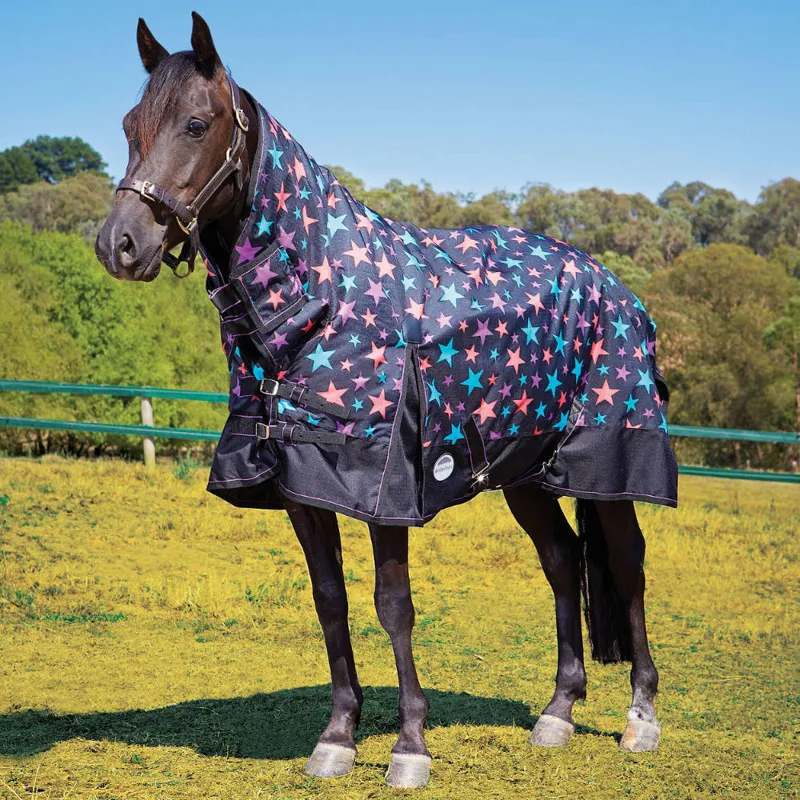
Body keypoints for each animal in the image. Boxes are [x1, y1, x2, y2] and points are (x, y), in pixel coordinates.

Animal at [95, 12, 677, 789]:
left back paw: (641, 719)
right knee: (561, 560)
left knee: (628, 565)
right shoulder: (301, 484)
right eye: (131, 125)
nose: (120, 244)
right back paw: (556, 714)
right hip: (522, 471)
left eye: (194, 124)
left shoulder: (385, 485)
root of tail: (616, 289)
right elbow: (331, 600)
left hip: (610, 457)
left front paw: (410, 748)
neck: (323, 300)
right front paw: (338, 737)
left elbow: (392, 604)